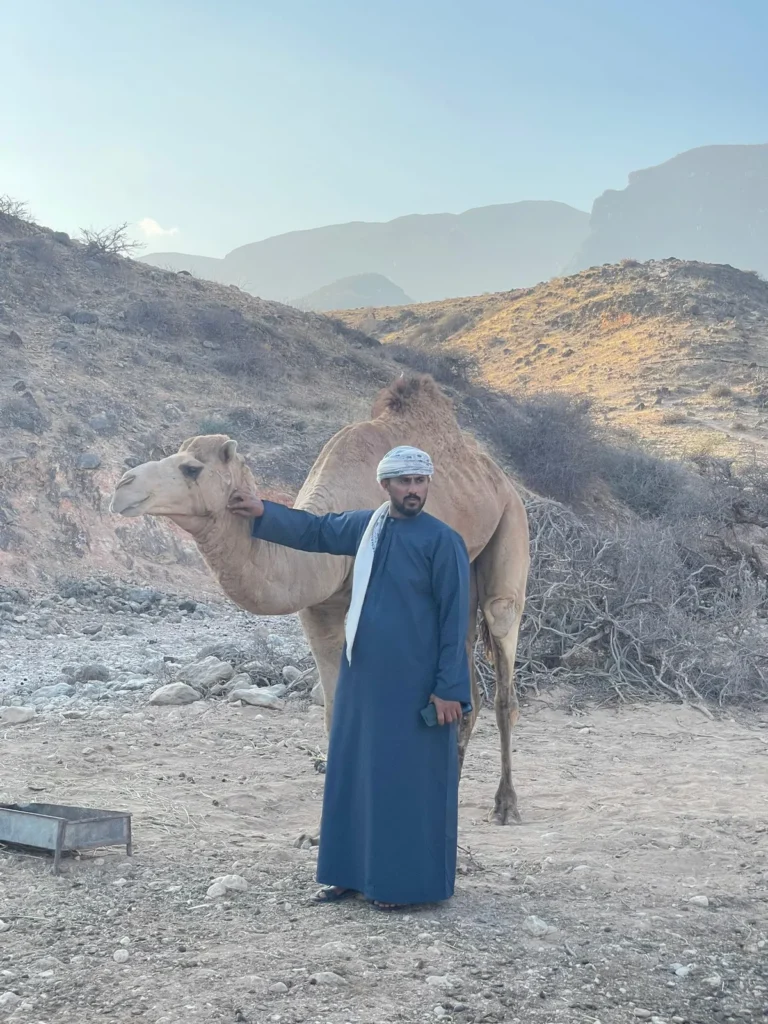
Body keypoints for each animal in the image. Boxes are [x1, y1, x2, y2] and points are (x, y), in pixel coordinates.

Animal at [110, 376, 530, 824]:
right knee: (466, 683)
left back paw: (506, 805)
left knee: (503, 662)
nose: (121, 487)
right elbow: (333, 714)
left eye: (191, 468)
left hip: (511, 528)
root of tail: (498, 476)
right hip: (464, 575)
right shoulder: (320, 610)